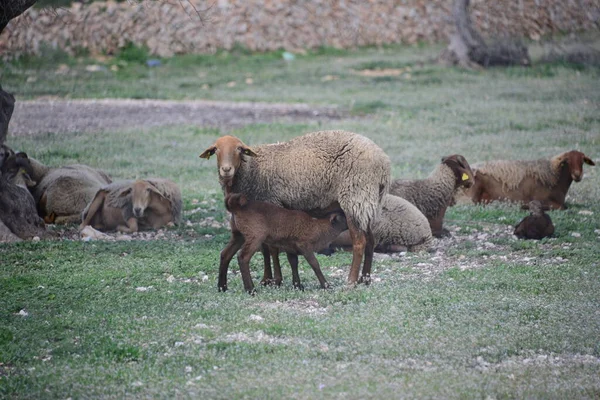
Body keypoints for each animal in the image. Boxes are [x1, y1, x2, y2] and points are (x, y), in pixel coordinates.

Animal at [199, 130, 392, 284]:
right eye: (215, 150)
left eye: (239, 149)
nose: (226, 170)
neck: (251, 170)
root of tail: (384, 162)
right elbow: (265, 249)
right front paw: (267, 279)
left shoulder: (271, 204)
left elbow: (272, 249)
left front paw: (276, 280)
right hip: (367, 203)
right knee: (371, 240)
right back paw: (365, 279)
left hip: (355, 197)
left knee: (359, 242)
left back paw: (351, 281)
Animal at [468, 150, 596, 211]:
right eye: (567, 161)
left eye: (582, 161)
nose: (577, 175)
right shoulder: (541, 199)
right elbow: (562, 207)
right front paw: (526, 206)